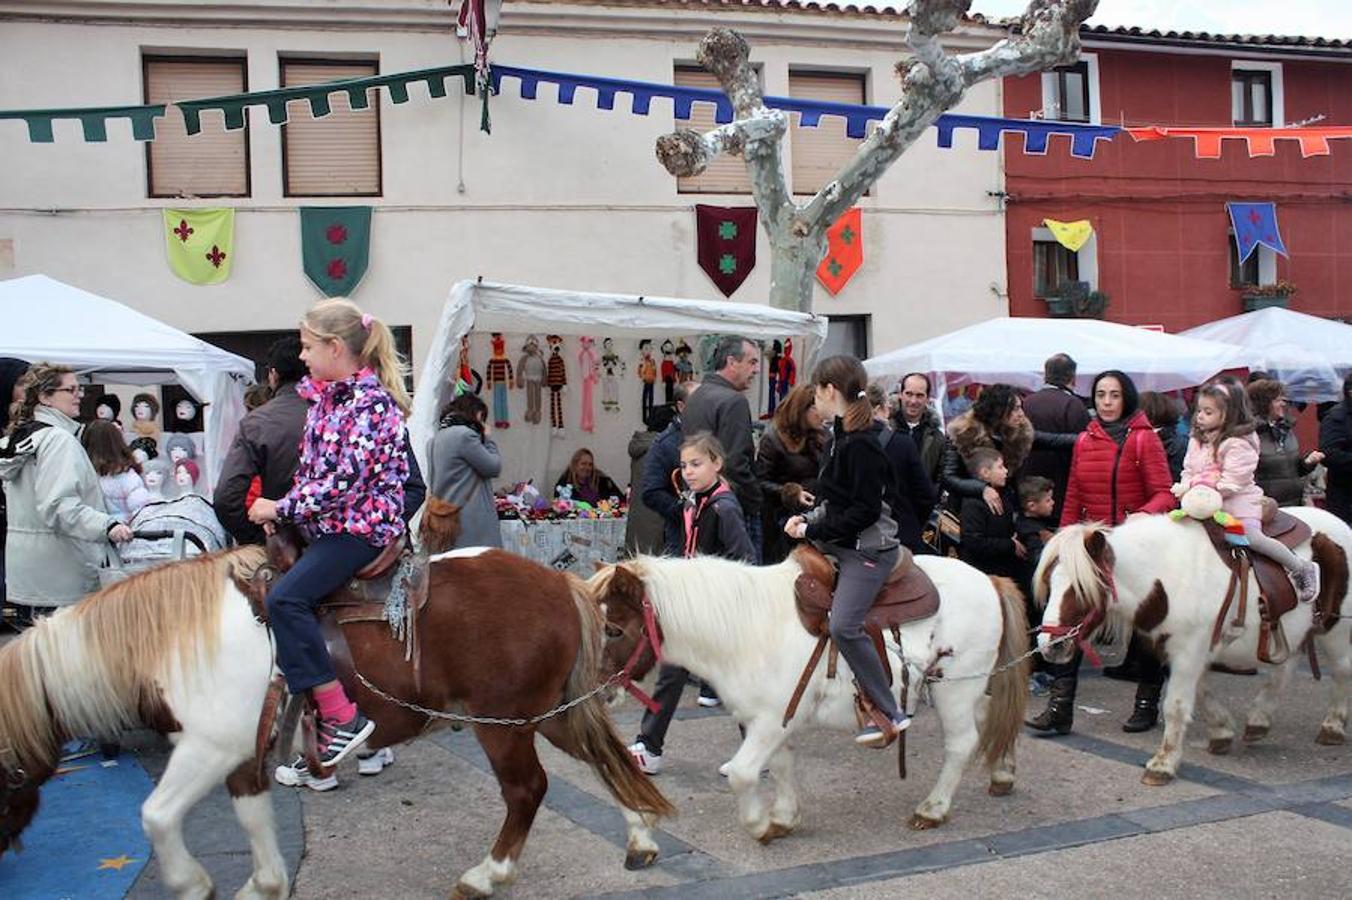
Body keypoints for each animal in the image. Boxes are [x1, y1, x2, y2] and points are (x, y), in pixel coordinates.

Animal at [0, 529, 676, 891]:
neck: (177, 637)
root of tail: (561, 584)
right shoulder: (241, 755)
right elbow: (253, 820)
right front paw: (265, 885)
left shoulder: (205, 749)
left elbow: (157, 816)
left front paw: (193, 883)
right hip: (547, 711)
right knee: (603, 758)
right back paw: (639, 837)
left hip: (502, 725)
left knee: (528, 790)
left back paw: (487, 875)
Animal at [589, 551, 1022, 837]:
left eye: (613, 629)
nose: (594, 691)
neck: (749, 627)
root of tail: (990, 579)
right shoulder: (773, 721)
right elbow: (781, 766)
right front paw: (783, 816)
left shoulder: (770, 721)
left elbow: (743, 774)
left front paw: (760, 825)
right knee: (992, 717)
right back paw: (1003, 772)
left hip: (954, 691)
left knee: (962, 744)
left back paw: (933, 809)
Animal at [1032, 508, 1352, 783]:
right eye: (1050, 582)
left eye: (1081, 588)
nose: (1050, 645)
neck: (1169, 576)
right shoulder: (1181, 650)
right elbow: (1200, 693)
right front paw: (1221, 731)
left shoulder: (1189, 652)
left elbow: (1175, 705)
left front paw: (1163, 764)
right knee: (1286, 668)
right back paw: (1260, 720)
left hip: (1335, 629)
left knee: (1341, 671)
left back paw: (1333, 726)